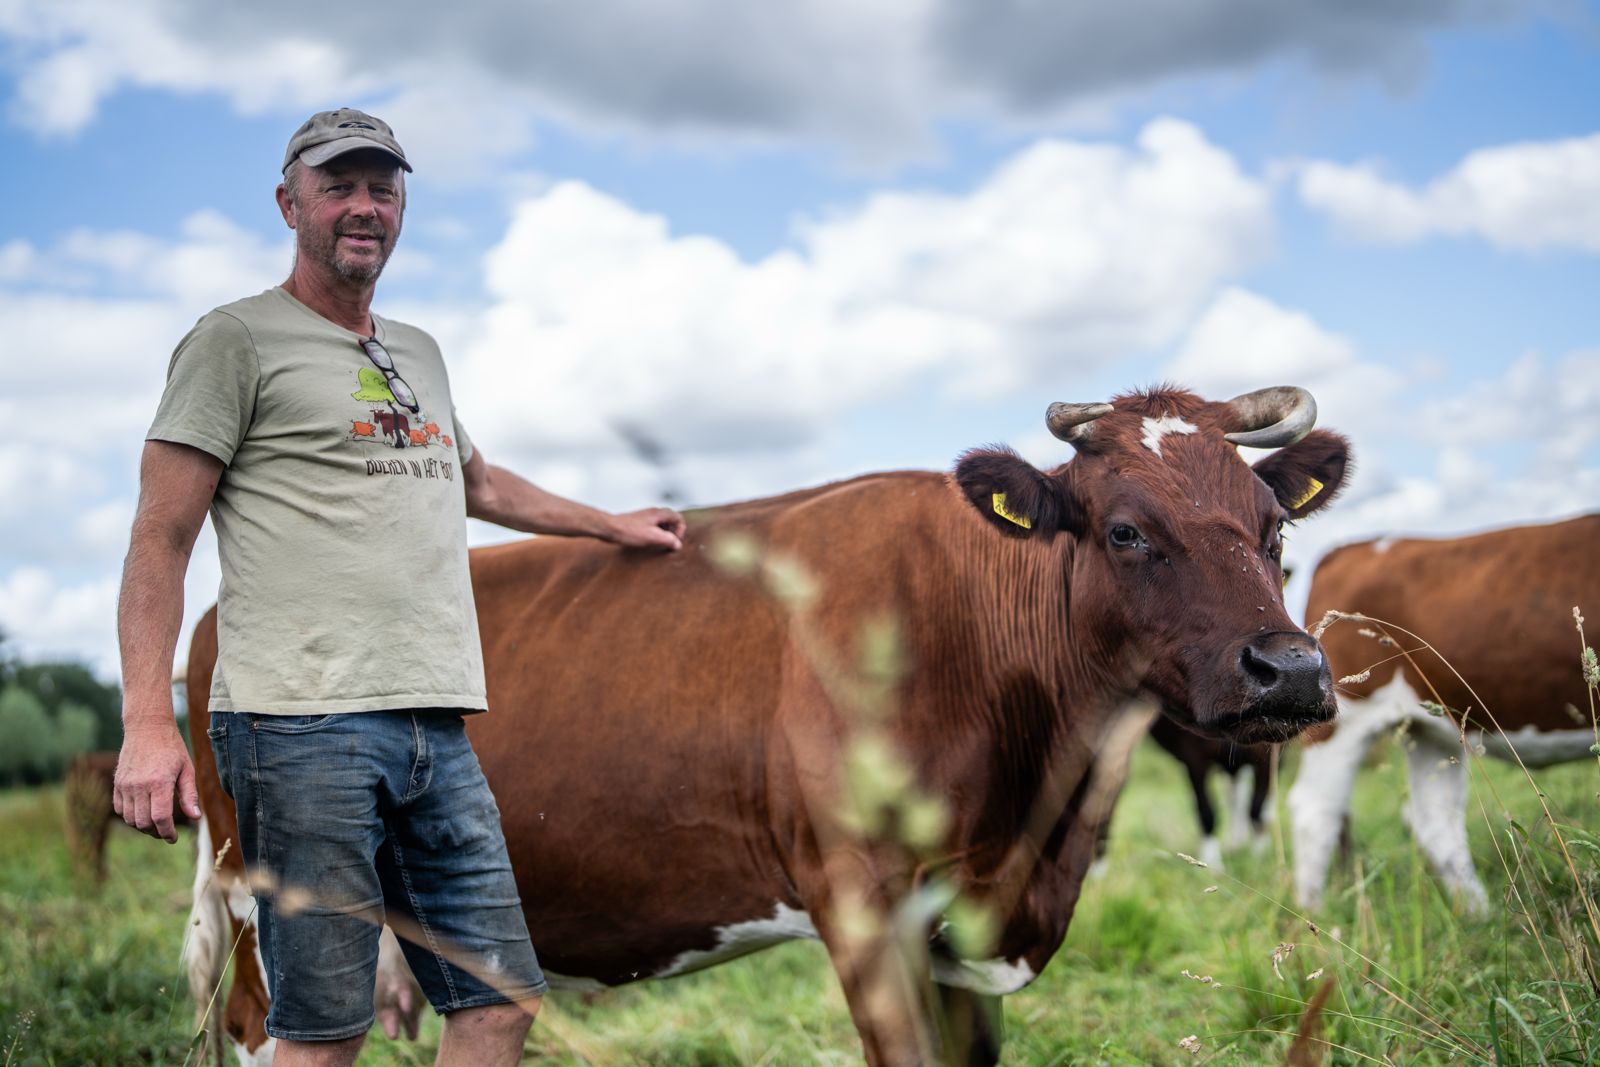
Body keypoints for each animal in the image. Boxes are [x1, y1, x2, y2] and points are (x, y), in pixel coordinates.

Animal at [184, 385, 1350, 1066]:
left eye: (1274, 528)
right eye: (1125, 530)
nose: (1290, 669)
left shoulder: (962, 936)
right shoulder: (860, 903)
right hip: (264, 888)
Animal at [1287, 514, 1600, 916]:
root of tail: (1350, 548)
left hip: (1429, 731)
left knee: (1435, 820)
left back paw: (1480, 917)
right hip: (1344, 721)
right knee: (1315, 810)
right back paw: (1314, 915)